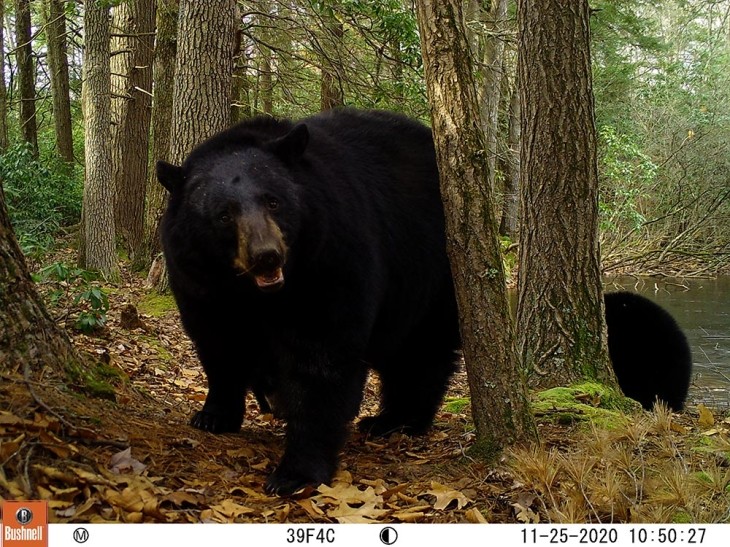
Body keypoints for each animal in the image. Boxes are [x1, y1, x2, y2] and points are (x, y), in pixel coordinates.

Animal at [157, 109, 460, 496]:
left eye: (273, 200)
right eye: (224, 214)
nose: (266, 256)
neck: (255, 294)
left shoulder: (329, 261)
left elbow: (320, 360)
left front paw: (295, 471)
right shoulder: (199, 283)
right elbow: (218, 345)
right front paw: (213, 414)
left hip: (431, 269)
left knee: (422, 350)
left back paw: (400, 420)